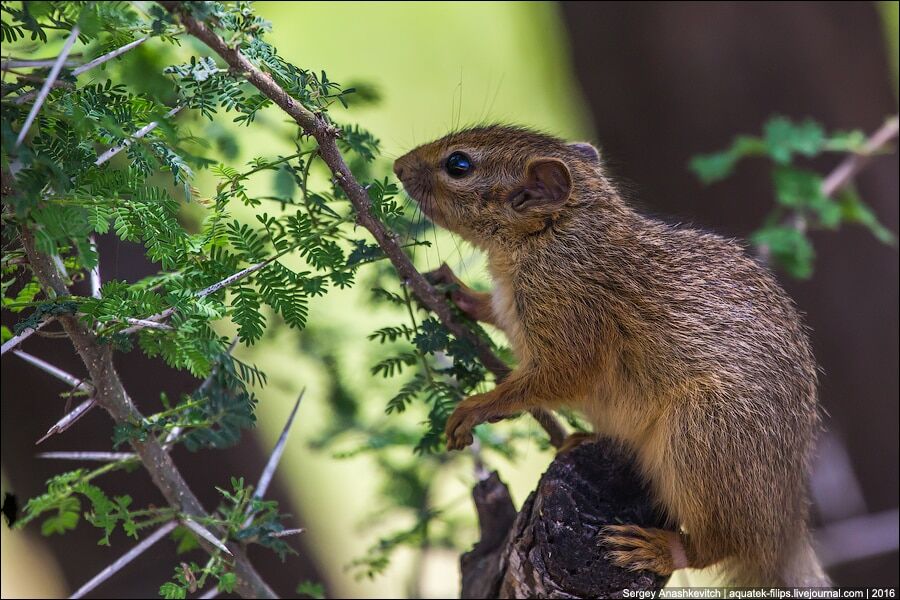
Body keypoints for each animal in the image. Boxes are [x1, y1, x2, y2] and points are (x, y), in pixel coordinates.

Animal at [394, 125, 828, 584]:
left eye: (458, 164)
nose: (399, 166)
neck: (554, 236)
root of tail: (785, 528)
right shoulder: (514, 307)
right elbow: (493, 311)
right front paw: (449, 288)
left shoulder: (573, 321)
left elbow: (553, 380)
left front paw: (476, 407)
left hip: (704, 439)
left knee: (720, 545)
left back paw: (660, 549)